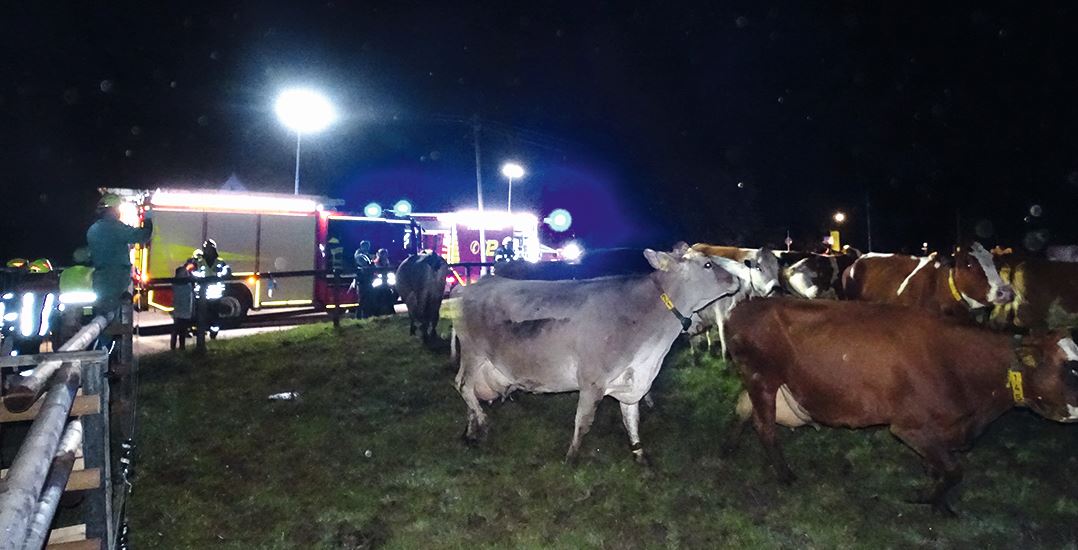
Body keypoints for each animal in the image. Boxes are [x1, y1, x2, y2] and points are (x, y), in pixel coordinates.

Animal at [453, 243, 740, 464]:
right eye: (707, 265)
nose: (737, 279)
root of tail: (472, 285)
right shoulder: (592, 380)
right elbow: (584, 421)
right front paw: (571, 457)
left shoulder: (632, 380)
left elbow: (631, 419)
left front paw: (639, 455)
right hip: (473, 352)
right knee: (463, 385)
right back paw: (482, 422)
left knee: (470, 393)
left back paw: (470, 432)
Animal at [725, 298, 1078, 515]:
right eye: (1070, 369)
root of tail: (745, 305)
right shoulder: (910, 427)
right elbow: (954, 471)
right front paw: (926, 498)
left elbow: (940, 468)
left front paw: (939, 503)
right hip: (762, 378)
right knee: (765, 427)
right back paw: (785, 476)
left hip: (758, 381)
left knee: (742, 411)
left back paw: (729, 450)